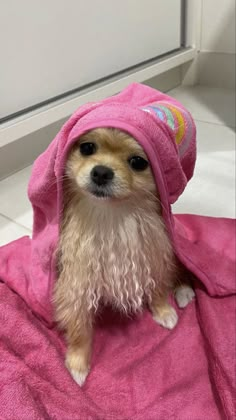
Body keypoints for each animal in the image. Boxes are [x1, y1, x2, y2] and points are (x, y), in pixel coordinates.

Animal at [54, 126, 195, 386]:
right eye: (87, 148)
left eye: (138, 162)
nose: (101, 172)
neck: (112, 217)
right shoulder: (76, 283)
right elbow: (79, 328)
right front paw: (78, 364)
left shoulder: (153, 256)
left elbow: (158, 288)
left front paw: (164, 312)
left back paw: (183, 291)